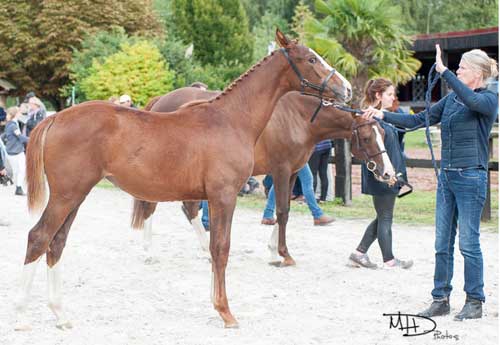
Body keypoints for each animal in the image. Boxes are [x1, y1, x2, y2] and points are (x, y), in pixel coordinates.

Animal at [15, 29, 352, 328]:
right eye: (311, 58)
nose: (346, 89)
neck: (232, 120)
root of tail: (56, 118)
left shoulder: (217, 197)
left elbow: (216, 247)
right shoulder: (224, 196)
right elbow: (221, 248)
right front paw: (225, 312)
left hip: (76, 196)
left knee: (57, 243)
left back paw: (60, 315)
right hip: (66, 195)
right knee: (39, 238)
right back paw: (22, 317)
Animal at [131, 87, 396, 264]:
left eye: (383, 133)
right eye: (367, 137)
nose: (388, 173)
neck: (298, 118)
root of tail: (160, 101)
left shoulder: (293, 172)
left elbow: (284, 208)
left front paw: (273, 250)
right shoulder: (281, 170)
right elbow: (282, 211)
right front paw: (282, 254)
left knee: (189, 208)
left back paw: (205, 250)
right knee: (152, 205)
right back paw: (148, 251)